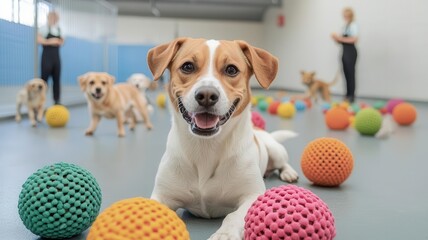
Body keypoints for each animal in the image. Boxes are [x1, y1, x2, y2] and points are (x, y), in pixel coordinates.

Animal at [147, 38, 298, 240]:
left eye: (231, 70)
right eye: (187, 66)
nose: (206, 95)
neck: (206, 147)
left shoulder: (252, 195)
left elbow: (233, 216)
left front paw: (224, 234)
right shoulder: (162, 195)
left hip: (276, 150)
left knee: (283, 162)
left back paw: (288, 172)